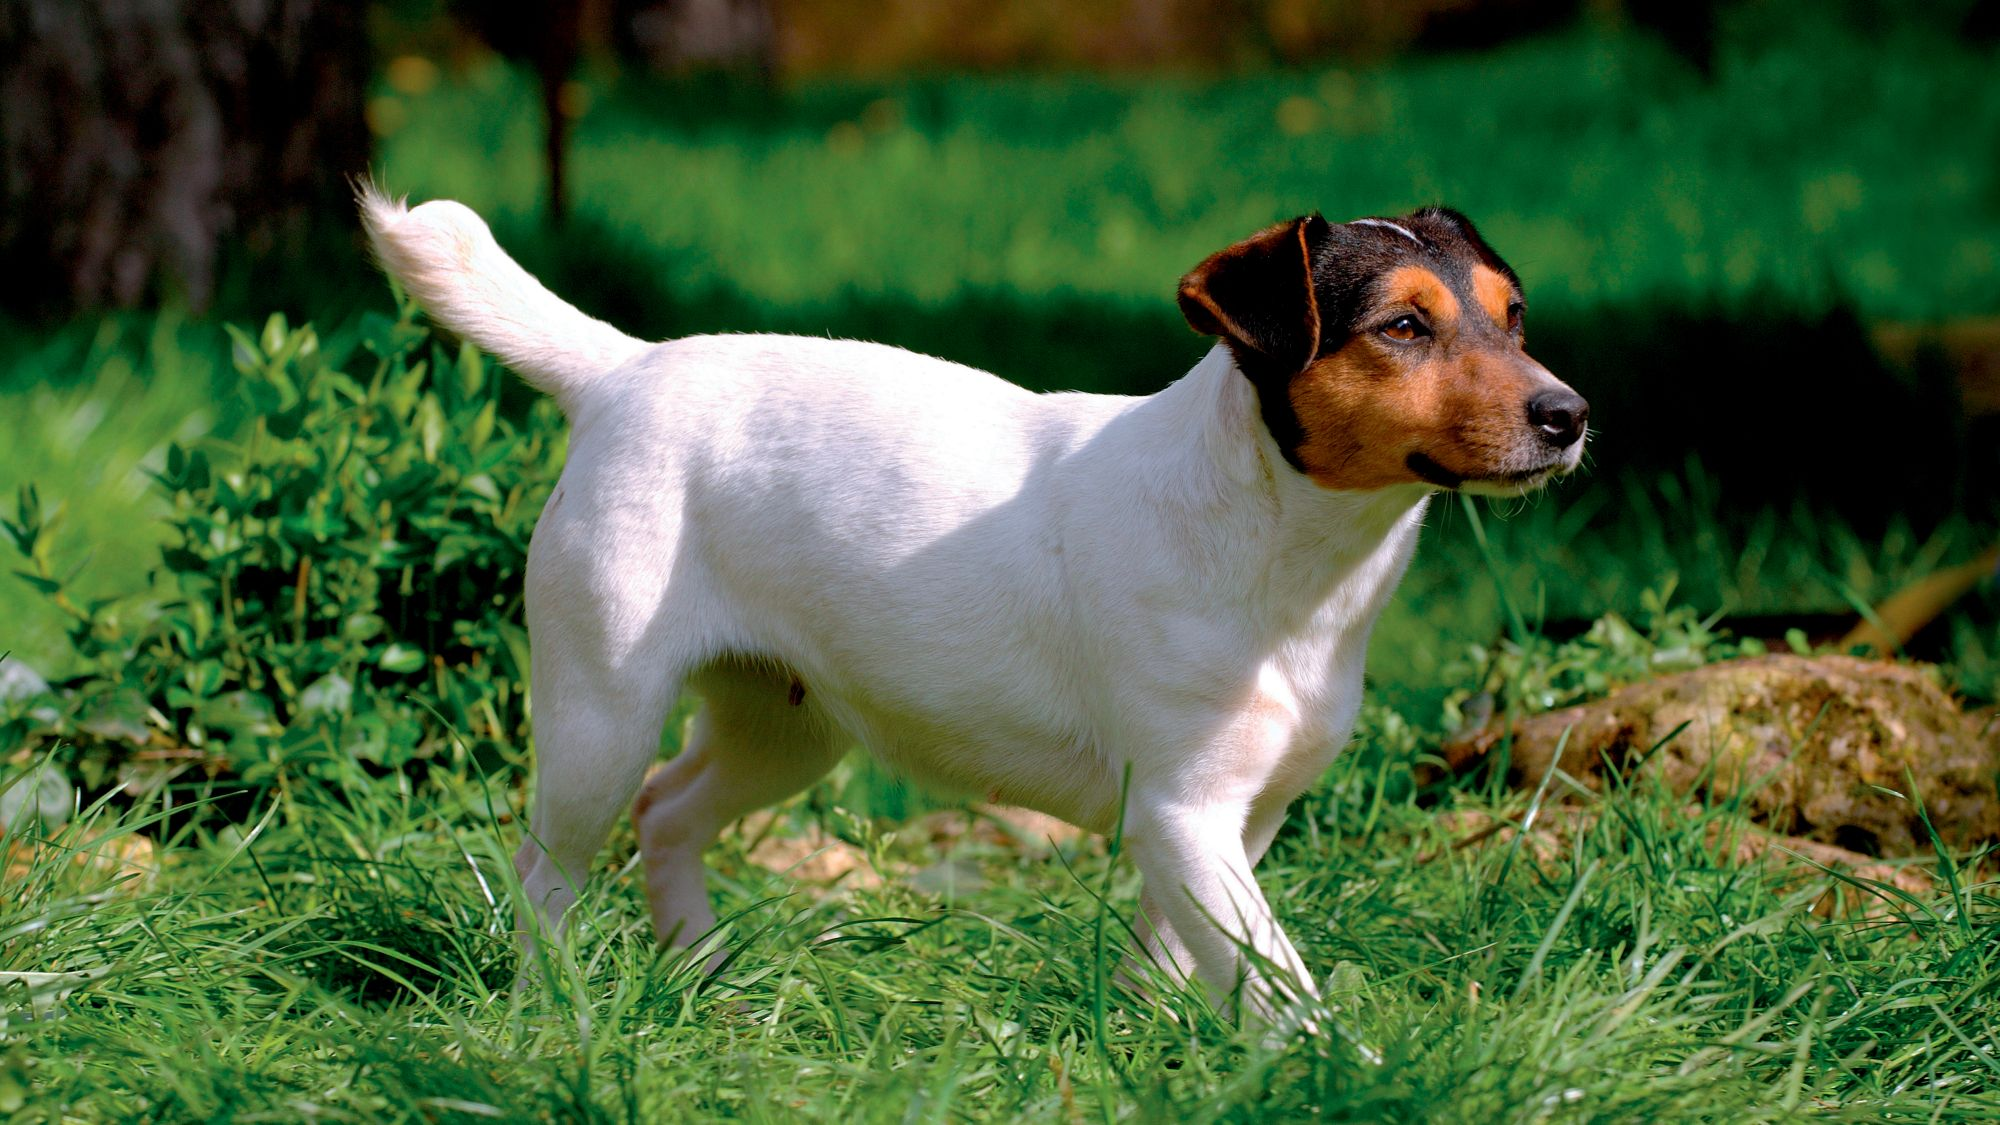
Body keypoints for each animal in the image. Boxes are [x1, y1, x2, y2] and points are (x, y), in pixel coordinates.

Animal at [356, 188, 1576, 1020]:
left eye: (1514, 319)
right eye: (1402, 329)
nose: (1568, 414)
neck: (1286, 552)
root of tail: (622, 369)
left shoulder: (1233, 821)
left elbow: (1184, 956)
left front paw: (1161, 1040)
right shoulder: (1183, 811)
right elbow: (1276, 977)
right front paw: (1330, 1061)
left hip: (783, 726)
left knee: (668, 812)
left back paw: (703, 971)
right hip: (598, 717)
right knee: (546, 872)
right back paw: (555, 1006)